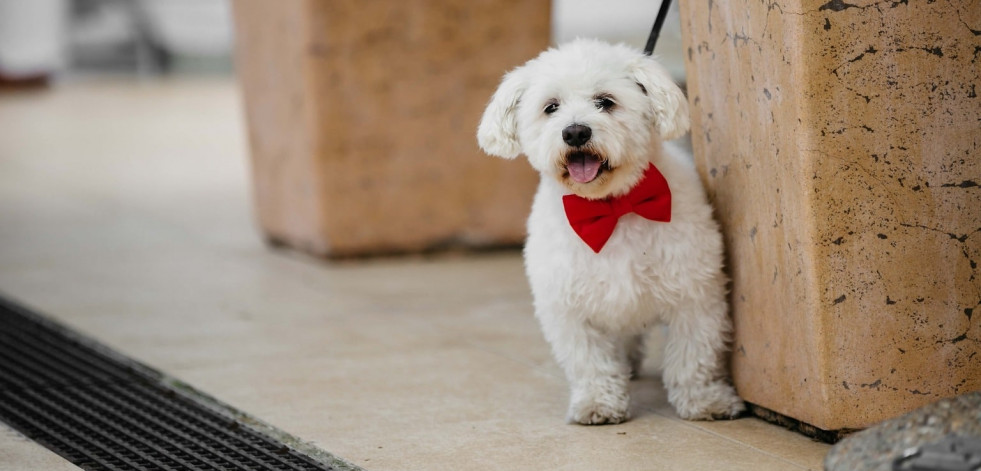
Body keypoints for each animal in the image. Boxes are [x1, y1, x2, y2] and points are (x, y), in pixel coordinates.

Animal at [476, 39, 744, 424]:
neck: (610, 207)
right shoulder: (568, 306)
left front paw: (705, 400)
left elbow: (693, 356)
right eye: (551, 107)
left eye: (605, 101)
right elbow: (590, 361)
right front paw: (598, 403)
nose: (575, 131)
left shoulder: (694, 294)